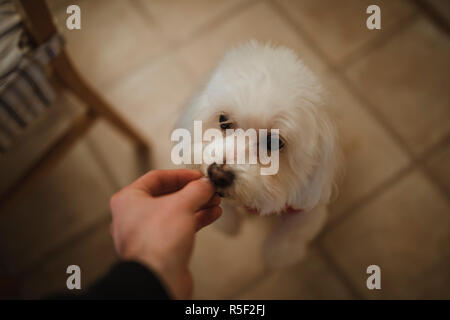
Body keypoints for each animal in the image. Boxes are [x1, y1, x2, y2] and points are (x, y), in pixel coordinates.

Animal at [174, 41, 340, 268]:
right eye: (223, 120)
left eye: (274, 142)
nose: (218, 174)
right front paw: (229, 223)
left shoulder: (309, 207)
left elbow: (293, 233)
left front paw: (277, 254)